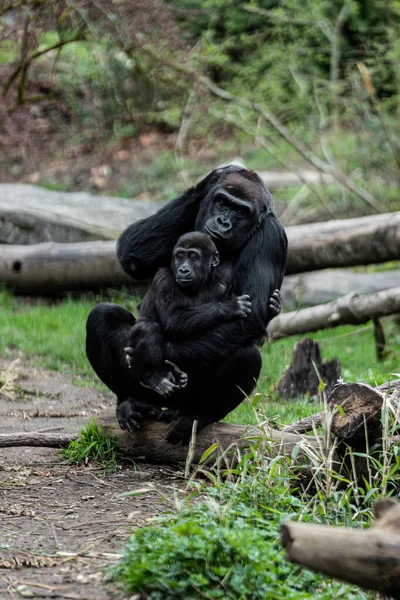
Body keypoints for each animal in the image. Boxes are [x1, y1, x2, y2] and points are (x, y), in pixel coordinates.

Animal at [123, 232, 252, 400]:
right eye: (180, 256)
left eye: (192, 257)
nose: (183, 269)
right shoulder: (164, 278)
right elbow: (173, 319)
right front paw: (230, 306)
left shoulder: (222, 286)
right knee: (147, 328)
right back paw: (154, 378)